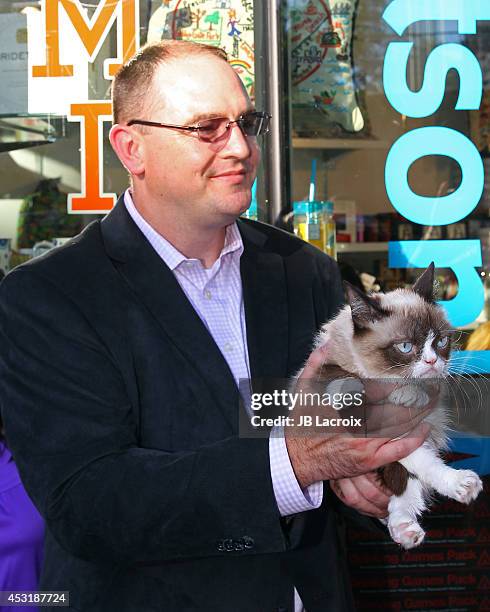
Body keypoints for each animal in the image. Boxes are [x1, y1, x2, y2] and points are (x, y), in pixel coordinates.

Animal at [310, 262, 482, 548]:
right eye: (405, 346)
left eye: (441, 342)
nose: (432, 361)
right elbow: (340, 375)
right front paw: (349, 390)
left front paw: (410, 394)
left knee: (406, 483)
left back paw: (411, 524)